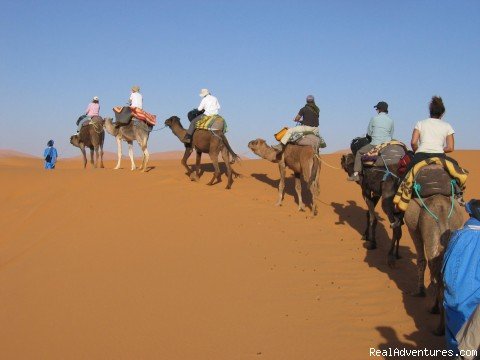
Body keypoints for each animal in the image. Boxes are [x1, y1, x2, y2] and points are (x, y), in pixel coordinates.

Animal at [404, 194, 464, 334]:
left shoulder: (413, 230)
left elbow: (421, 261)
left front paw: (420, 292)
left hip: (428, 233)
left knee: (436, 278)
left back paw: (439, 327)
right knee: (441, 279)